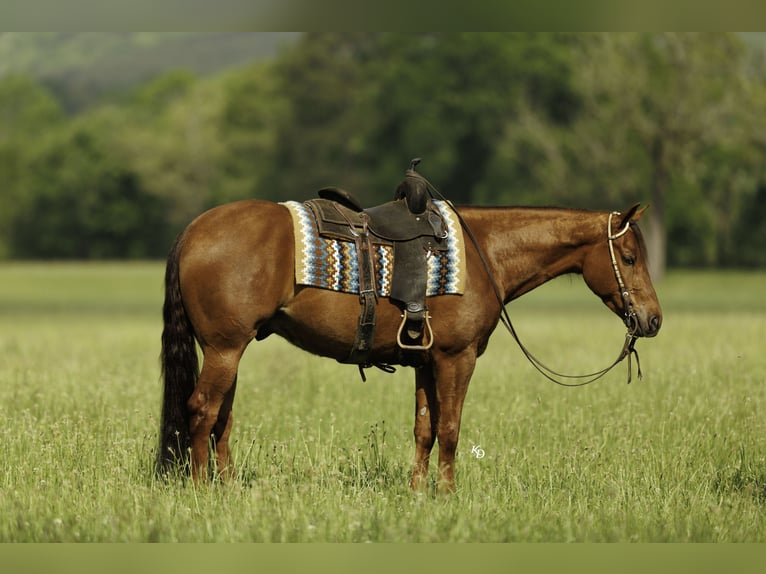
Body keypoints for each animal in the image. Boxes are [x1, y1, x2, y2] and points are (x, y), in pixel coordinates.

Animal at [157, 199, 662, 493]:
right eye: (629, 258)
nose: (653, 319)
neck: (483, 254)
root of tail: (192, 231)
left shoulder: (425, 361)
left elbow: (425, 428)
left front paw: (419, 491)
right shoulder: (457, 359)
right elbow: (452, 428)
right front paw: (447, 494)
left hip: (229, 350)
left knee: (222, 417)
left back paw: (228, 486)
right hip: (225, 348)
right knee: (201, 409)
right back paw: (201, 489)